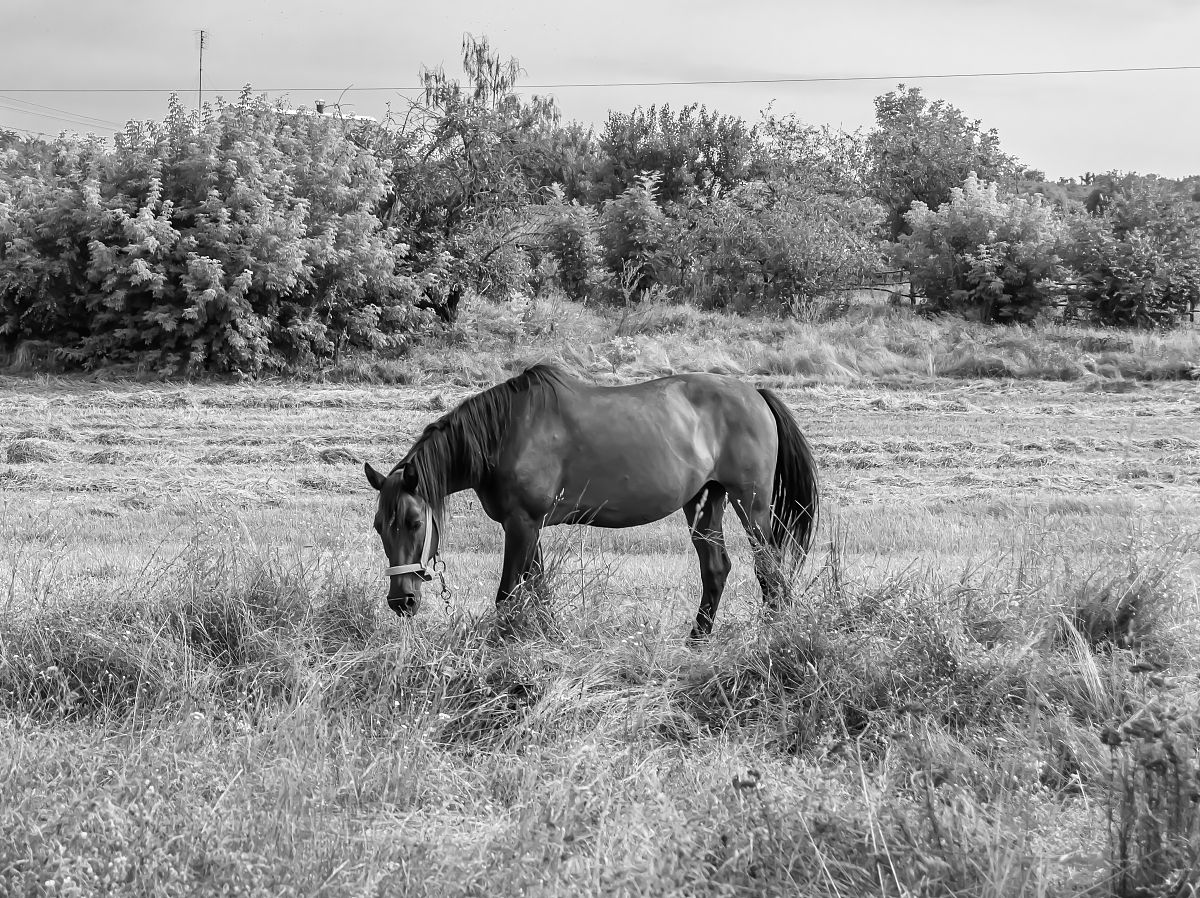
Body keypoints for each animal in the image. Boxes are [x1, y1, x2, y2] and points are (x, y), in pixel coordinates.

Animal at [364, 364, 819, 639]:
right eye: (379, 526)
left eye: (414, 522)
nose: (401, 601)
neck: (507, 432)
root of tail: (756, 394)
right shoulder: (528, 525)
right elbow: (538, 589)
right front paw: (546, 637)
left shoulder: (522, 523)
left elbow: (509, 594)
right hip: (704, 503)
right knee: (717, 570)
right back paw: (697, 641)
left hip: (751, 504)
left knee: (770, 570)